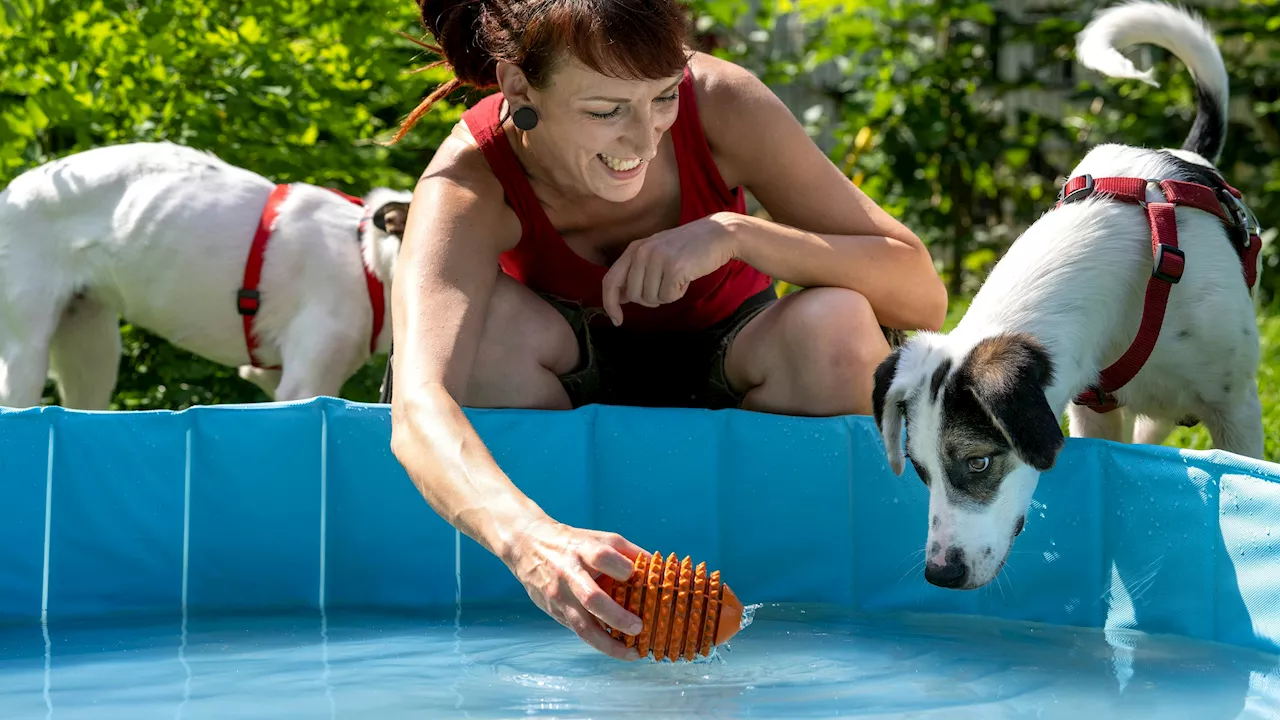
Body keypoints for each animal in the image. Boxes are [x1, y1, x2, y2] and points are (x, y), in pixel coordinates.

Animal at [0, 141, 409, 409]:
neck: (366, 258)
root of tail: (8, 194)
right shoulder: (306, 382)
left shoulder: (271, 376)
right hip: (26, 356)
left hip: (92, 350)